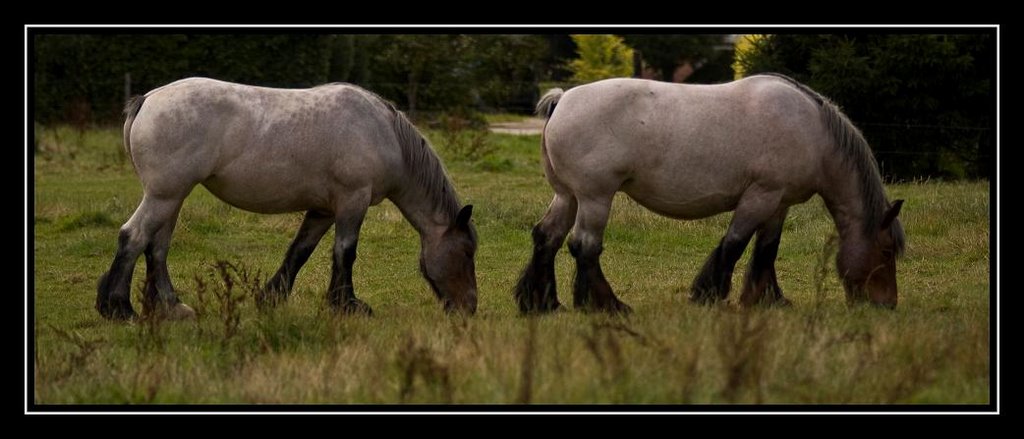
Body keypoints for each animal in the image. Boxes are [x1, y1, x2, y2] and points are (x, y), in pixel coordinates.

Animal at [96, 76, 479, 319]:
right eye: (466, 252)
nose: (469, 308)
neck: (383, 132)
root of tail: (148, 99)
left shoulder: (324, 209)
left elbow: (300, 251)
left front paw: (271, 297)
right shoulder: (352, 201)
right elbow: (345, 253)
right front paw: (348, 306)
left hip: (172, 198)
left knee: (156, 247)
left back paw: (171, 307)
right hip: (165, 195)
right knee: (134, 237)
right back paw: (118, 308)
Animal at [516, 75, 909, 315]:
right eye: (886, 251)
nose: (887, 304)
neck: (811, 129)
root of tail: (563, 99)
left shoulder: (778, 204)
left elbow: (766, 250)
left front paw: (767, 300)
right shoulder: (760, 196)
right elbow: (734, 244)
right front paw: (708, 295)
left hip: (568, 197)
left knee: (547, 238)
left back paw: (543, 303)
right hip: (595, 198)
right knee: (584, 247)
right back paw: (608, 305)